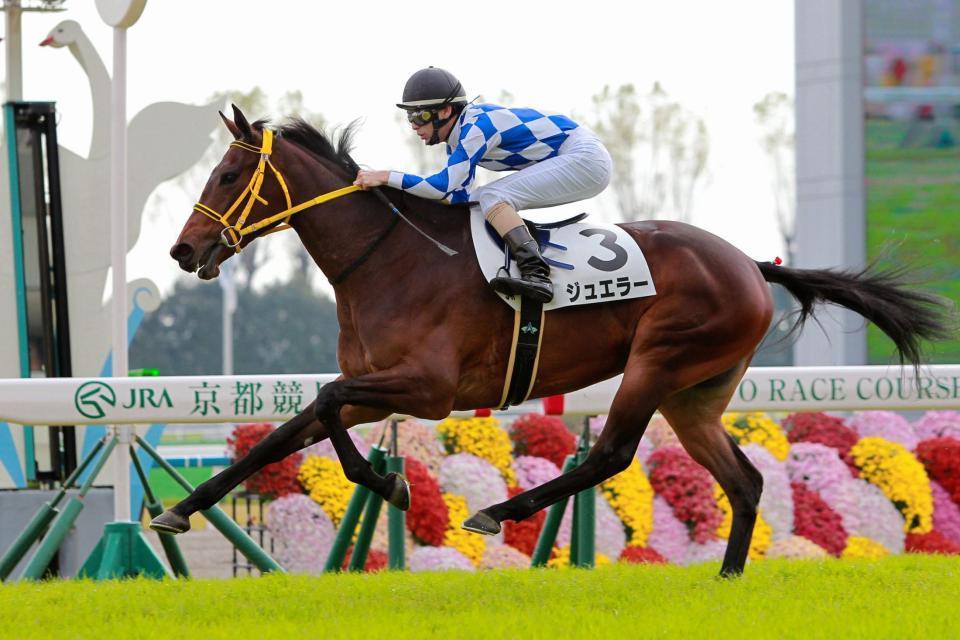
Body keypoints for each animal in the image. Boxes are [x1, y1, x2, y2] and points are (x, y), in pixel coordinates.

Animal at [152, 105, 950, 576]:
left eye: (229, 173)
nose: (183, 251)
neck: (388, 257)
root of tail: (751, 265)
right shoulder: (377, 387)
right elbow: (286, 431)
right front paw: (179, 509)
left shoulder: (429, 389)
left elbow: (323, 402)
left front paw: (391, 484)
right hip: (695, 393)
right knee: (744, 481)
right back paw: (728, 577)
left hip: (657, 361)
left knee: (611, 454)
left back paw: (498, 512)